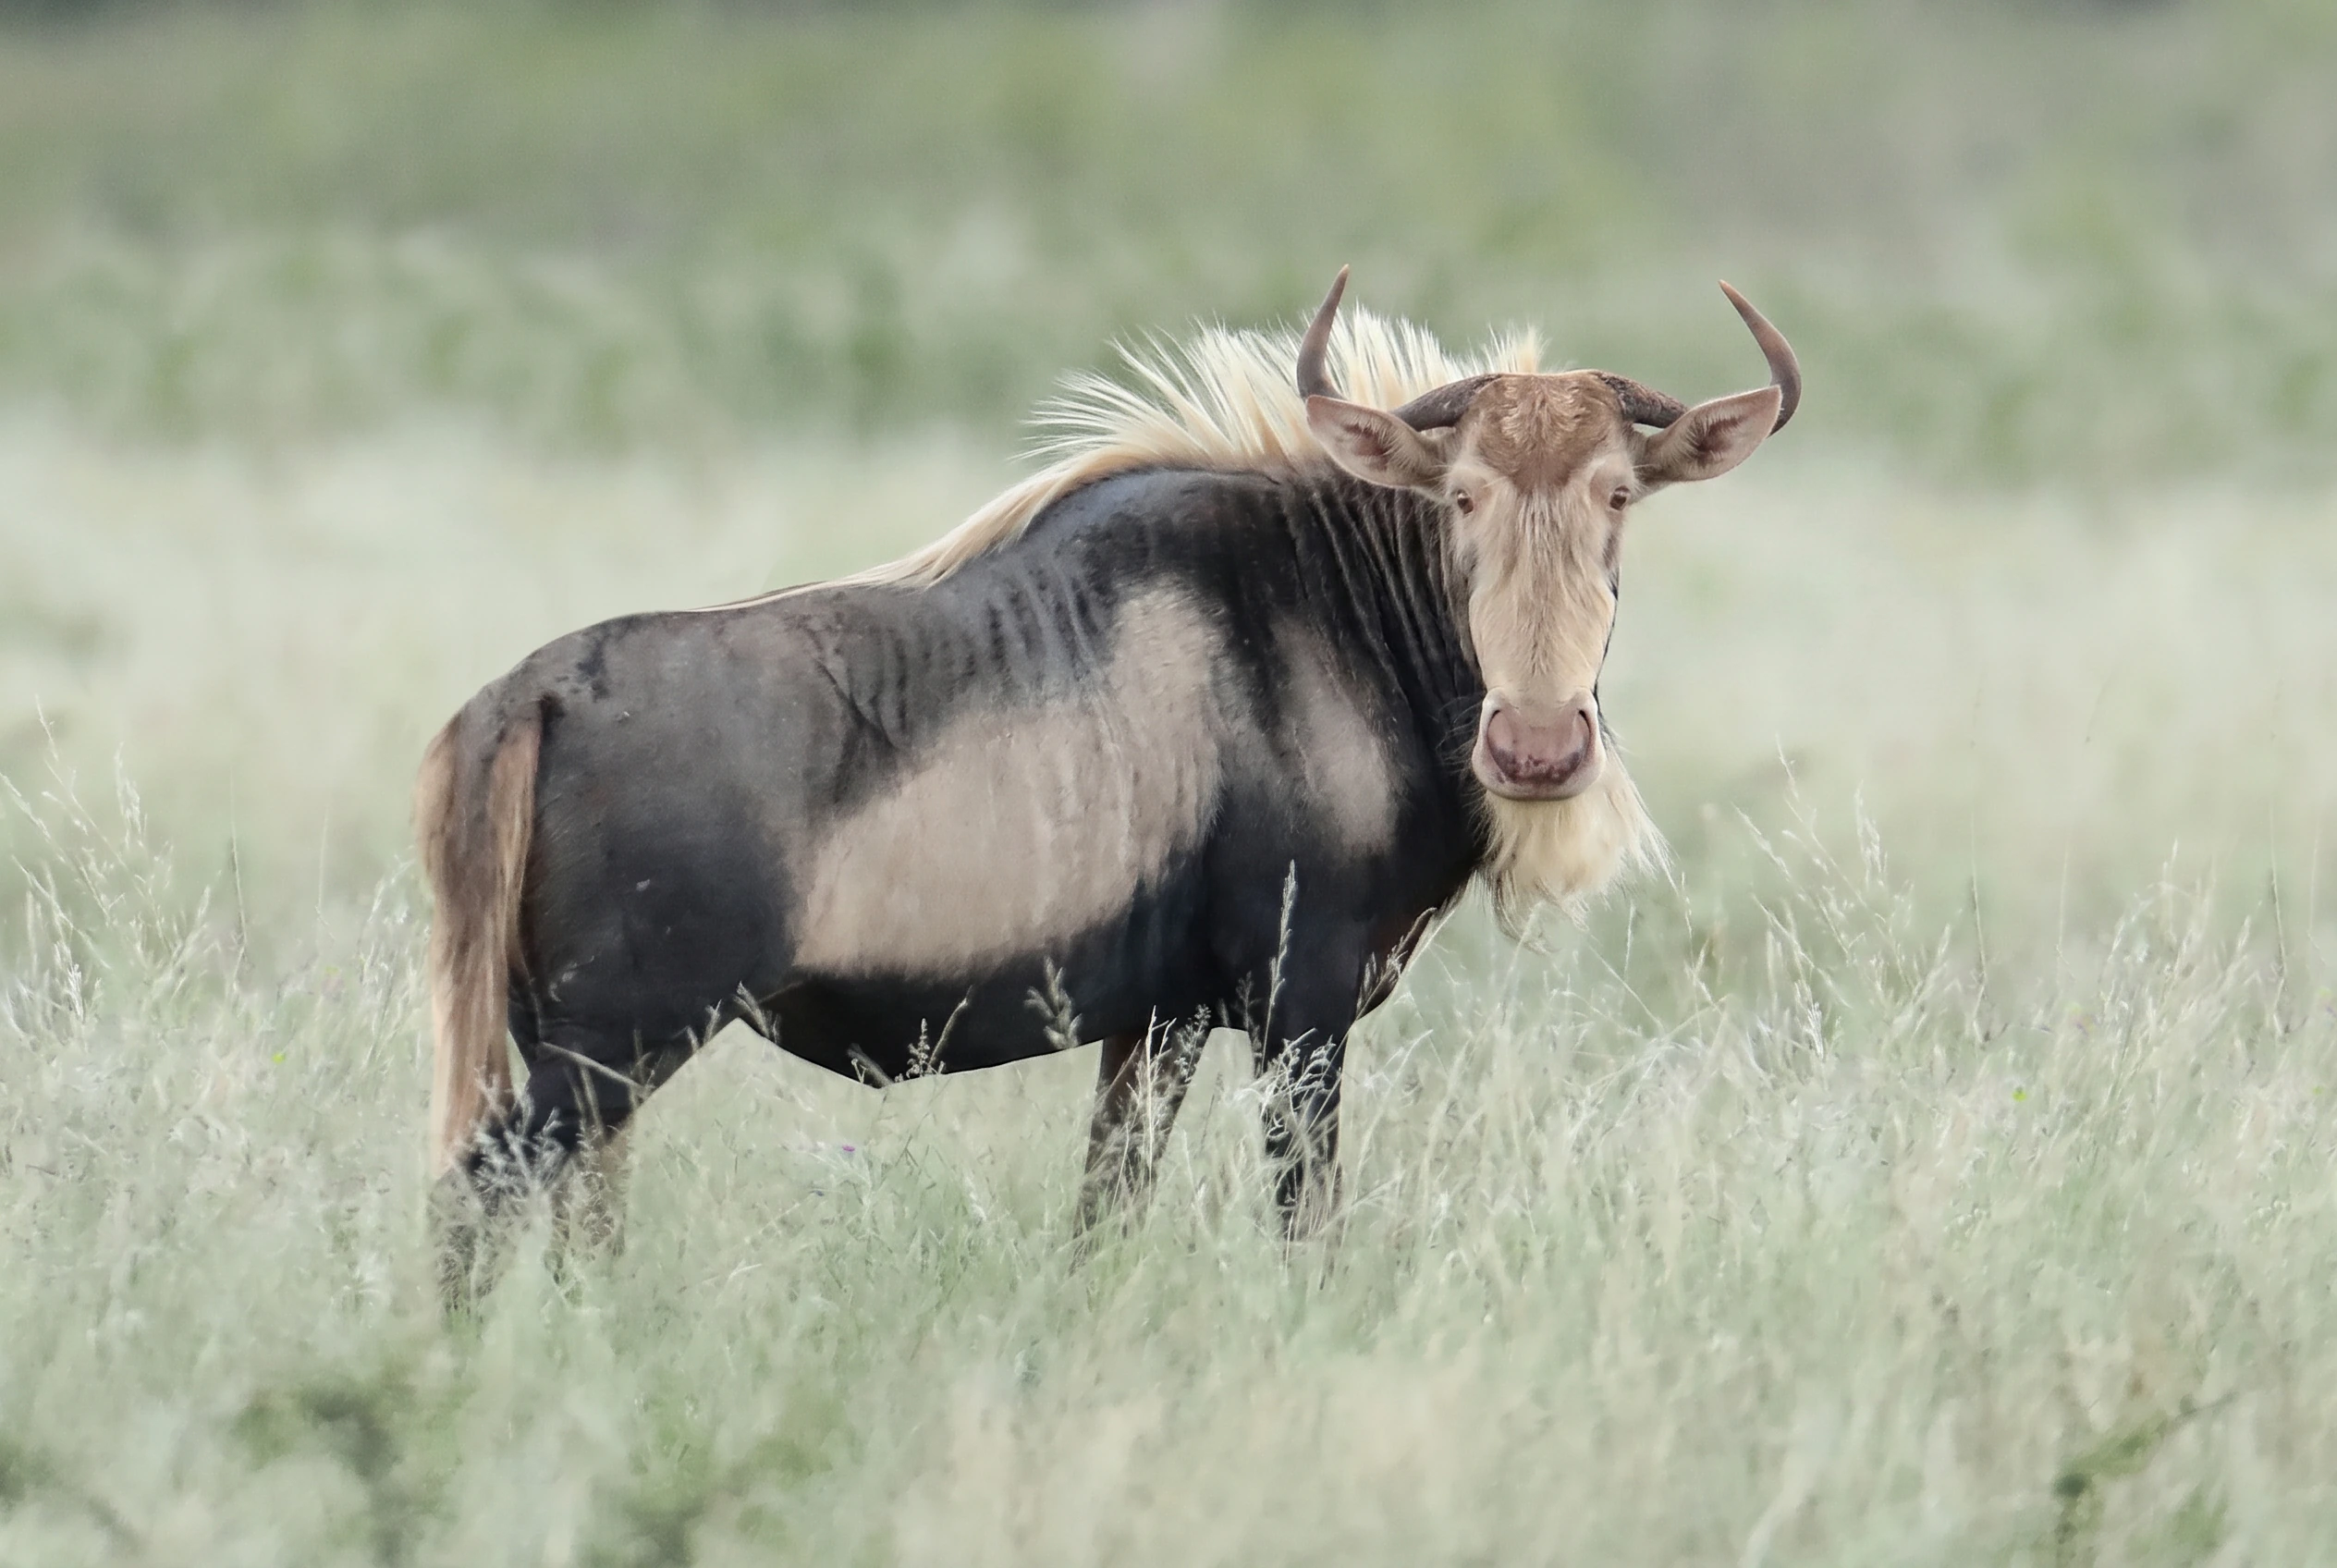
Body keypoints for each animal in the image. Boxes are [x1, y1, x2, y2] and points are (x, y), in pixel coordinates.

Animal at [417, 269, 1799, 1300]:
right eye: (1460, 497)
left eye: (1617, 493)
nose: (1537, 749)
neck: (1330, 606)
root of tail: (527, 694)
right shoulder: (1300, 1007)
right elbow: (1306, 1228)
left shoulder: (1158, 1022)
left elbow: (1103, 1217)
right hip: (611, 1049)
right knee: (475, 1198)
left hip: (580, 1054)